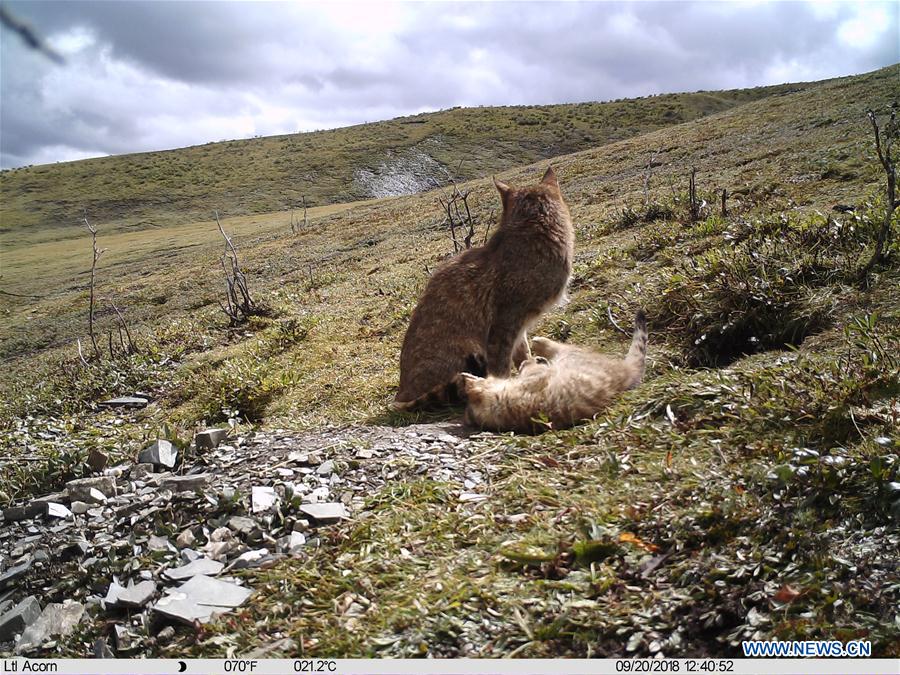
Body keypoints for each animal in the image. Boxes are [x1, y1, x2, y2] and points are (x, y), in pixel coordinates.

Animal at [394, 169, 576, 412]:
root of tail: (401, 396)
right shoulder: (504, 322)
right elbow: (501, 366)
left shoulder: (518, 326)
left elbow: (522, 350)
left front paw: (529, 367)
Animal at [458, 312, 648, 434]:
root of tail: (628, 371)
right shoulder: (535, 377)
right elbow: (531, 367)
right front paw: (532, 361)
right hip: (573, 355)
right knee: (560, 347)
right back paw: (540, 344)